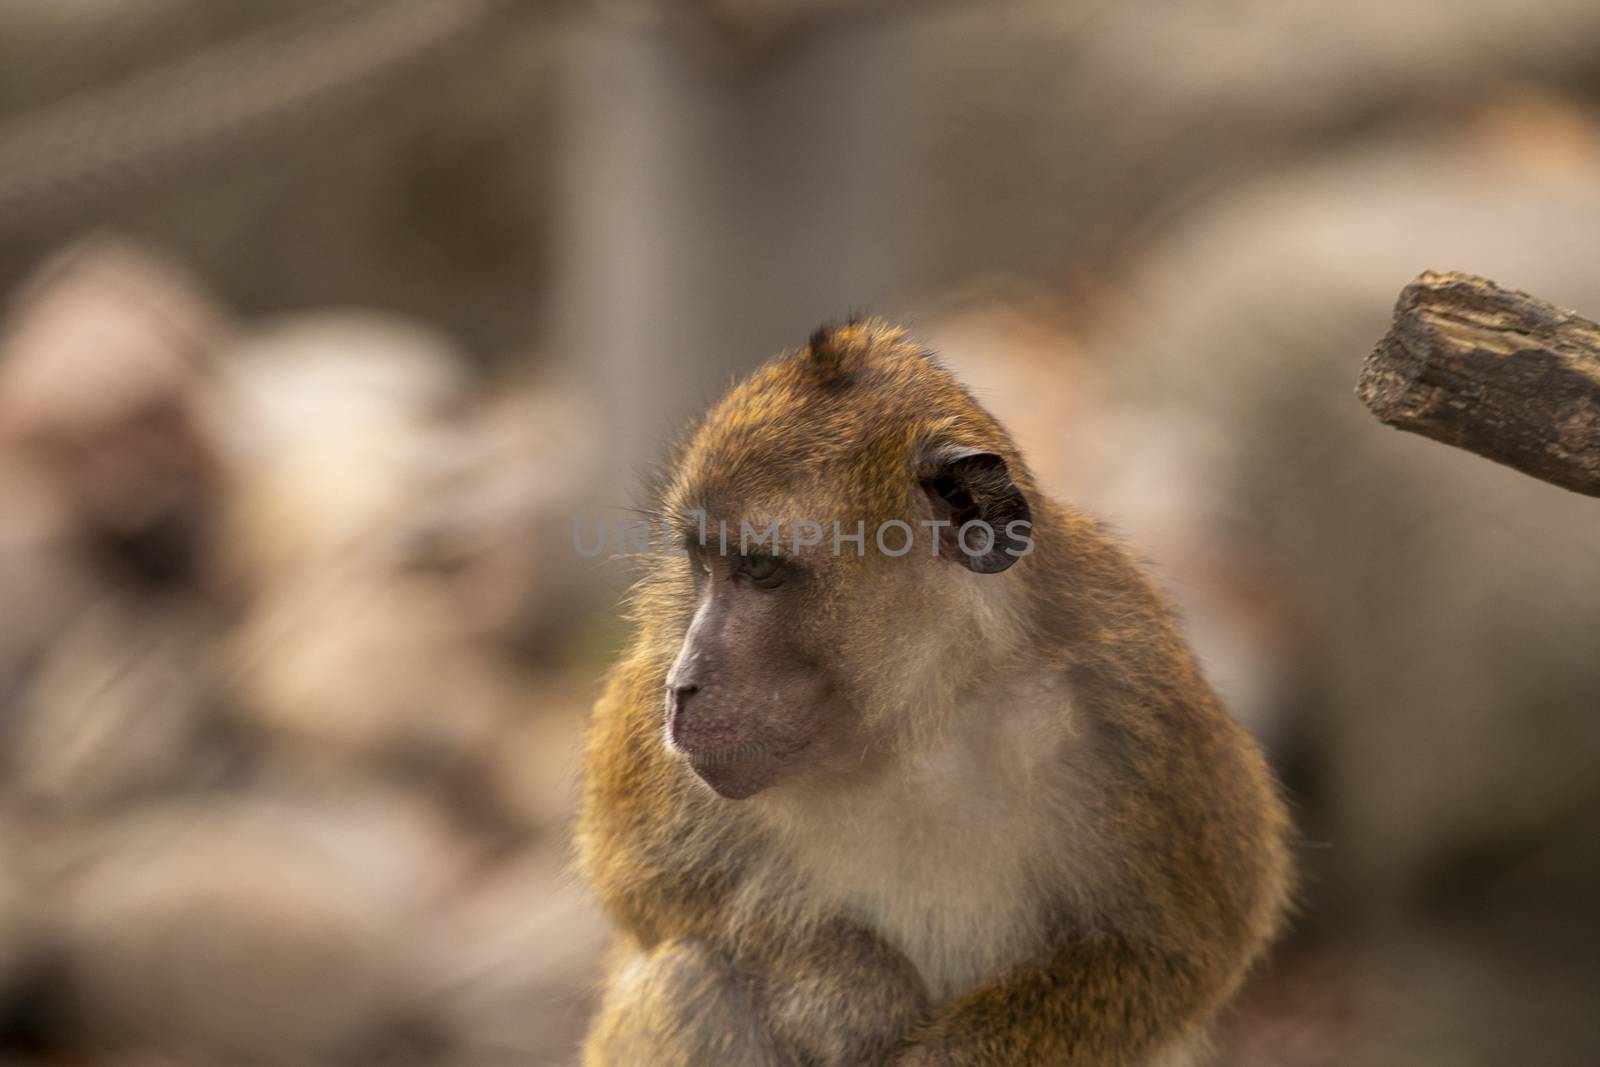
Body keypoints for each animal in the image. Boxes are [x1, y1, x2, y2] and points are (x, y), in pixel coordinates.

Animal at [576, 319, 1286, 1067]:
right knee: (693, 979)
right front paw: (843, 990)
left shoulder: (1134, 694)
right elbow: (636, 878)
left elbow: (1183, 946)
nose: (682, 686)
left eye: (760, 568)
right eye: (701, 561)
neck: (918, 717)